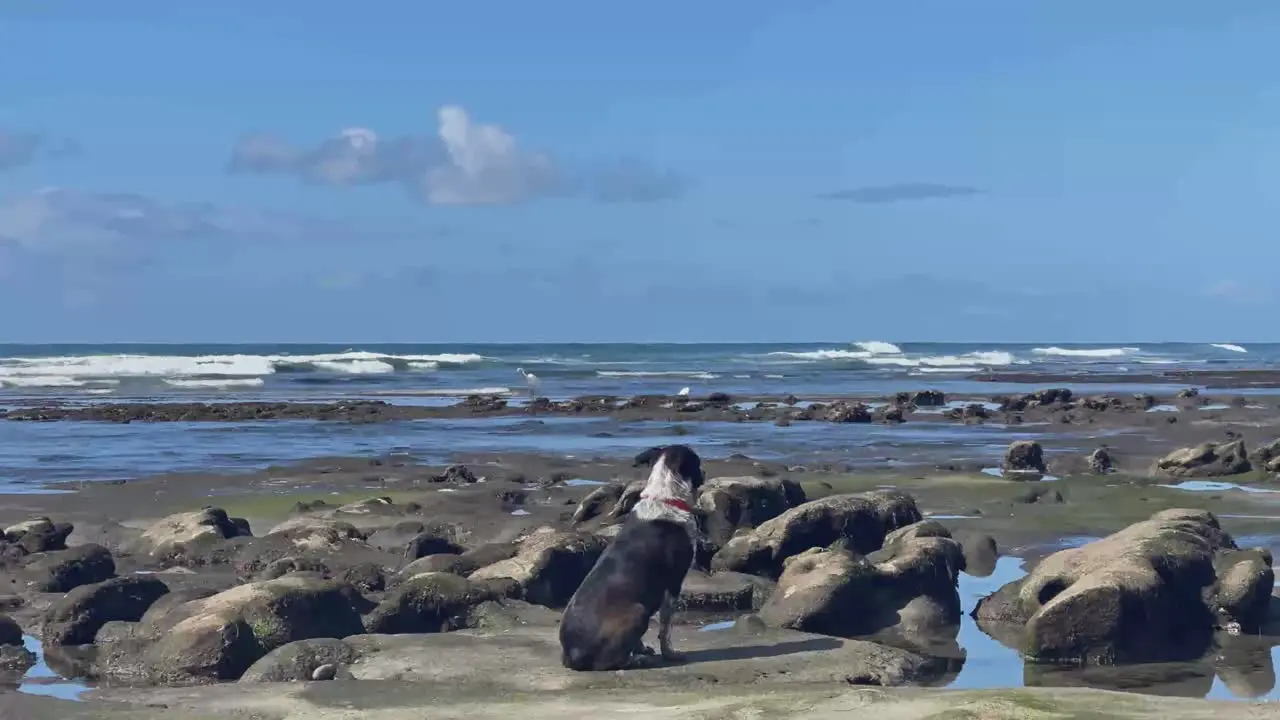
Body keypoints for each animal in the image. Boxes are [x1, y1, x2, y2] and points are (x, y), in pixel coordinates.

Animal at [558, 440, 706, 671]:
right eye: (698, 463)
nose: (705, 472)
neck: (665, 498)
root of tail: (571, 655)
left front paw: (642, 649)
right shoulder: (673, 584)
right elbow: (665, 628)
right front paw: (669, 654)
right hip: (638, 611)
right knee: (606, 662)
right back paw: (635, 661)